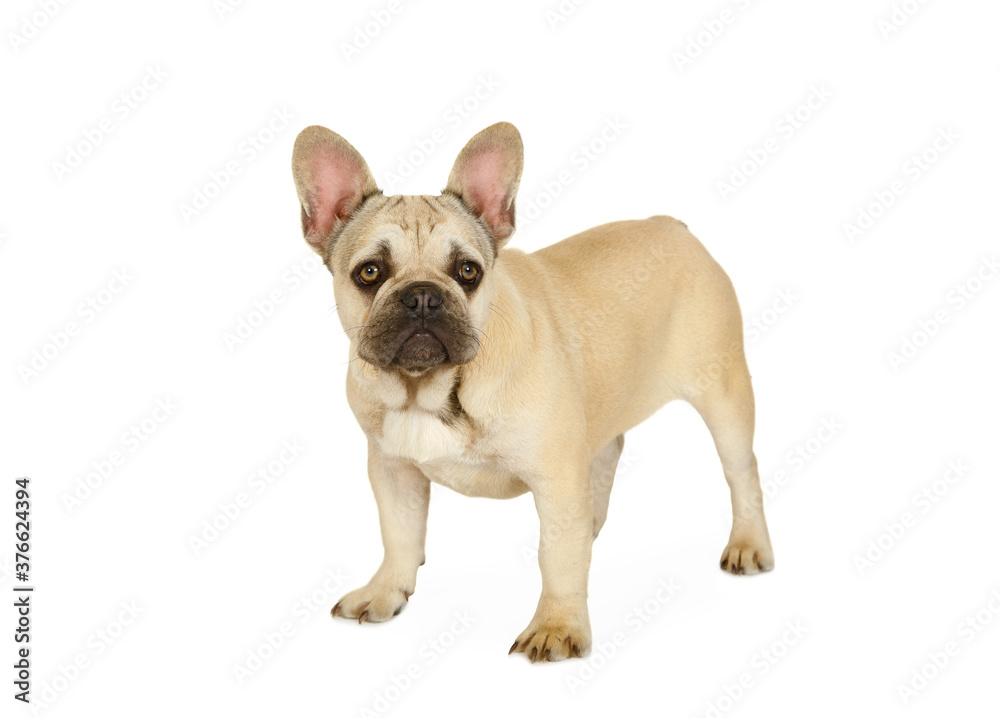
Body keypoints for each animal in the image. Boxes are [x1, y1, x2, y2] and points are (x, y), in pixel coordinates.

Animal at [290, 122, 772, 664]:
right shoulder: (392, 468)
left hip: (724, 394)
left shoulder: (554, 476)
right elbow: (398, 534)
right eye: (369, 272)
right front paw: (386, 590)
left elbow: (555, 557)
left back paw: (749, 545)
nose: (422, 297)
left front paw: (556, 626)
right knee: (608, 451)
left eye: (468, 272)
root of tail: (673, 226)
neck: (432, 389)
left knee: (741, 472)